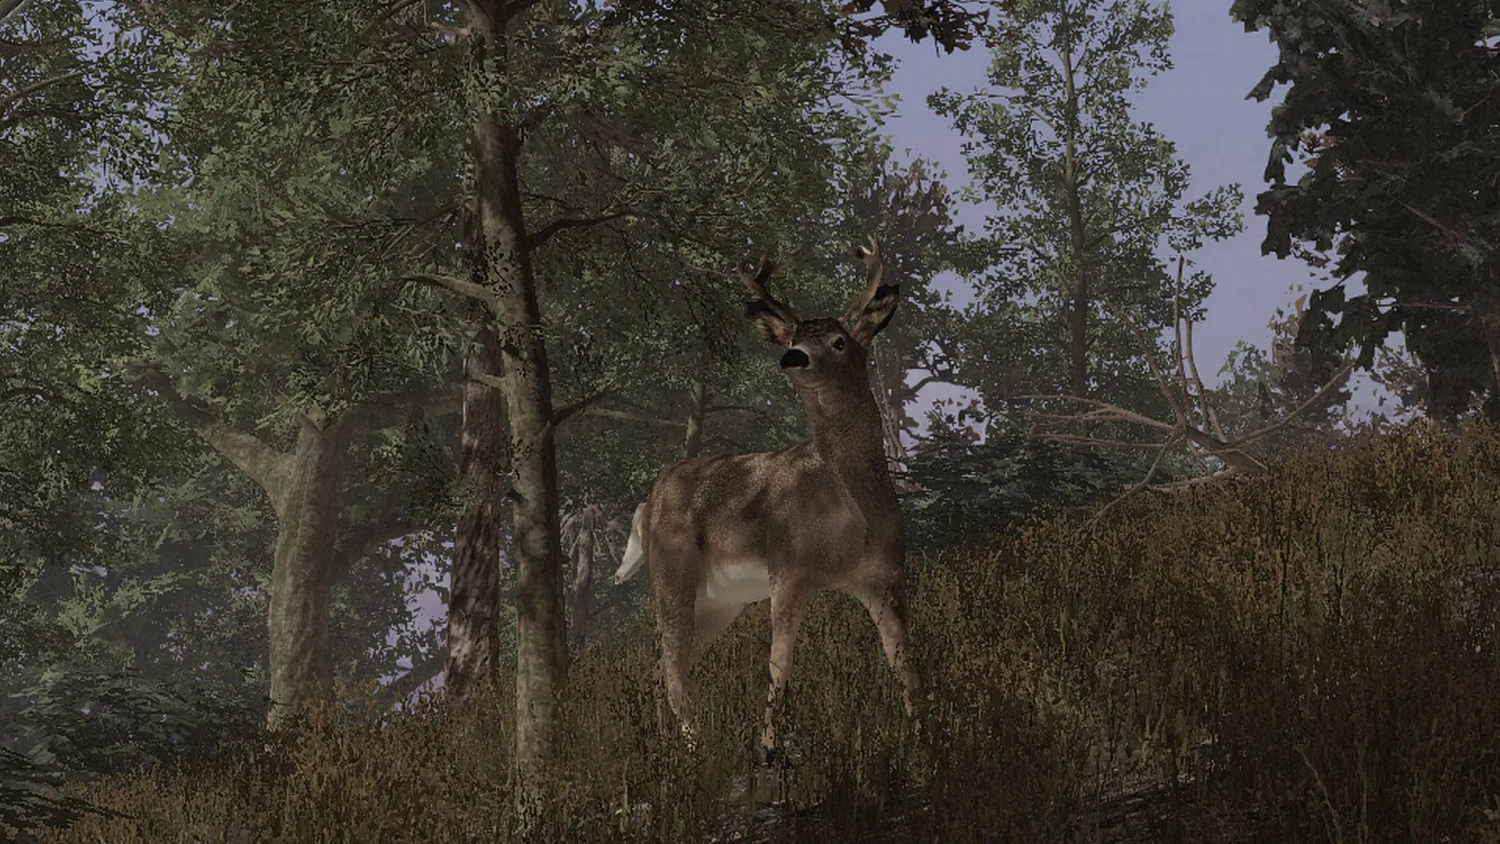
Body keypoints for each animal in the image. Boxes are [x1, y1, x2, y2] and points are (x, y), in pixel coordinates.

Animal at [613, 235, 917, 764]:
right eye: (793, 336)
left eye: (839, 340)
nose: (793, 357)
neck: (855, 516)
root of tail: (647, 502)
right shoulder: (788, 570)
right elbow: (778, 666)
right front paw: (771, 752)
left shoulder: (882, 576)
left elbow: (904, 662)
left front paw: (926, 733)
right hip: (671, 573)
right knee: (671, 669)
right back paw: (698, 749)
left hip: (719, 601)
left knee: (661, 668)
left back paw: (664, 754)